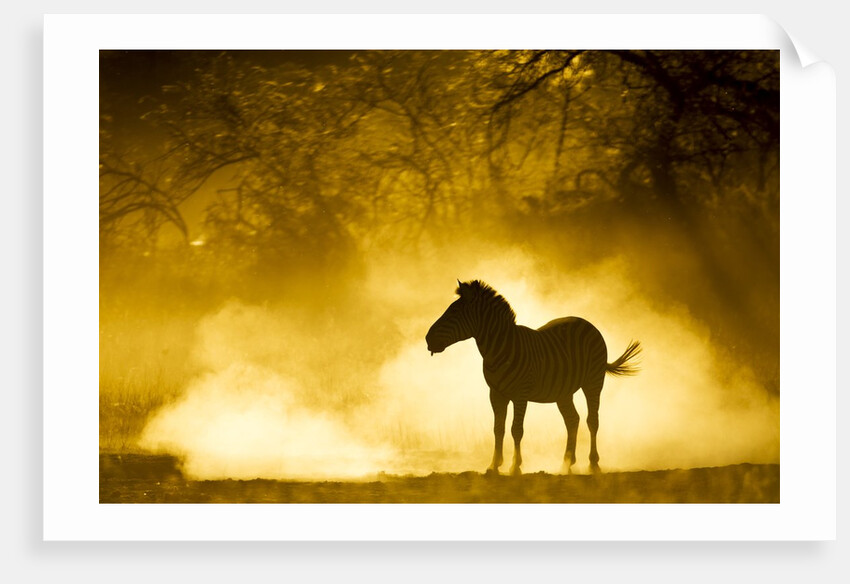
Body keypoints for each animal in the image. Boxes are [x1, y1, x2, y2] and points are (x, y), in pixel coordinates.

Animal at [425, 279, 641, 475]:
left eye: (454, 312)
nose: (427, 339)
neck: (500, 349)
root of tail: (587, 323)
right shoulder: (495, 394)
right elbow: (498, 429)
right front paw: (494, 465)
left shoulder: (520, 394)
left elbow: (516, 429)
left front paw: (515, 466)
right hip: (563, 391)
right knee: (573, 420)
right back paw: (567, 463)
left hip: (593, 382)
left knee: (592, 420)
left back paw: (593, 464)